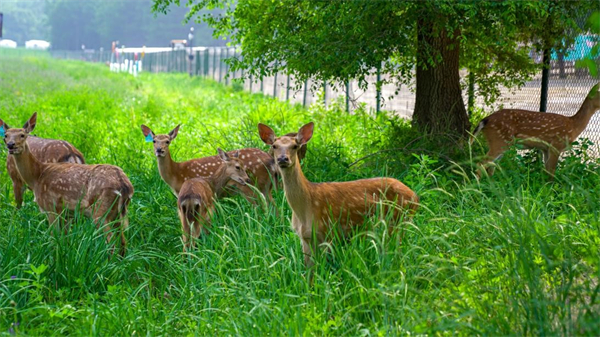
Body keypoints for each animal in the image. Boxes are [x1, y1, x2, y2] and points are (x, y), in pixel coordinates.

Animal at [1, 113, 134, 255]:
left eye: (22, 135)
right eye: (6, 135)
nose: (11, 145)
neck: (38, 175)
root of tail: (125, 185)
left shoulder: (51, 206)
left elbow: (53, 239)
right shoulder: (66, 212)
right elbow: (65, 240)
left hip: (101, 211)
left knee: (111, 244)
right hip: (117, 214)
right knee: (123, 243)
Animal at [141, 122, 278, 203]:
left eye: (167, 141)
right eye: (154, 141)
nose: (159, 150)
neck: (176, 173)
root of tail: (270, 159)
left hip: (257, 185)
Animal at [256, 121, 418, 268]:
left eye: (295, 146)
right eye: (274, 146)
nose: (283, 159)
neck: (305, 206)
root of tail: (415, 196)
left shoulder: (327, 231)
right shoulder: (305, 238)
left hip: (398, 220)